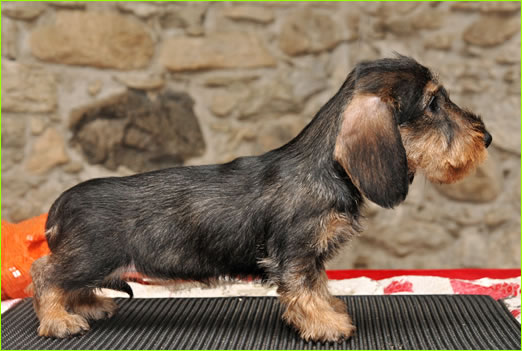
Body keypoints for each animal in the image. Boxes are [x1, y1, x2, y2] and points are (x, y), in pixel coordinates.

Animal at [31, 56, 488, 342]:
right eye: (433, 103)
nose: (486, 139)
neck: (325, 167)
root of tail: (60, 205)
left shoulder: (310, 256)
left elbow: (317, 286)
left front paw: (328, 312)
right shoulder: (296, 253)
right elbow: (304, 289)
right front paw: (326, 325)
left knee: (67, 282)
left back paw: (90, 305)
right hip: (89, 257)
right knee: (45, 275)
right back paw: (59, 320)